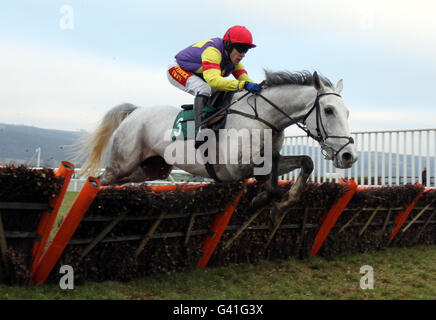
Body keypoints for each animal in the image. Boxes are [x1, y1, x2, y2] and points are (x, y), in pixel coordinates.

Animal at [74, 70, 358, 231]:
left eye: (347, 112)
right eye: (328, 110)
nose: (348, 156)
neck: (264, 117)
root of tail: (135, 112)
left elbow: (304, 162)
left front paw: (280, 207)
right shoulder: (235, 166)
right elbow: (272, 170)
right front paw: (263, 200)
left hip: (151, 168)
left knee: (114, 181)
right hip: (123, 162)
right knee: (102, 179)